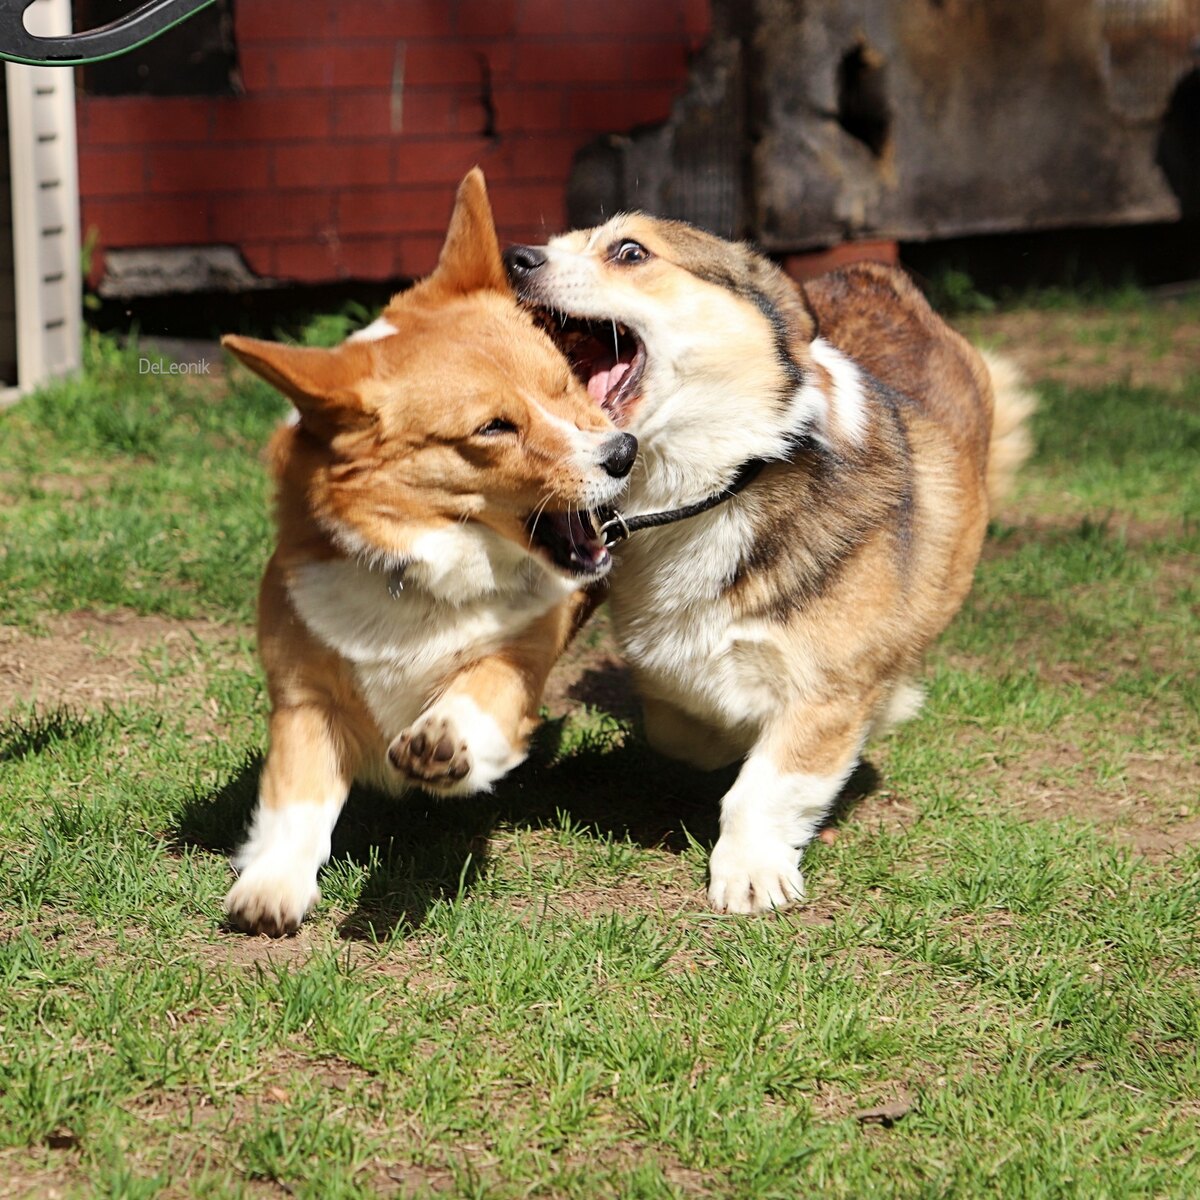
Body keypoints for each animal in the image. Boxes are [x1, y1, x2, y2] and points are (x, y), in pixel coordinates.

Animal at [220, 171, 637, 936]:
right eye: (494, 427)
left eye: (564, 385)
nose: (623, 452)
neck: (415, 567)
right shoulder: (303, 701)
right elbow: (294, 800)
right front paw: (270, 885)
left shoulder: (520, 661)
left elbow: (479, 691)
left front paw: (445, 741)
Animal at [504, 216, 1033, 914]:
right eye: (558, 239)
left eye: (630, 251)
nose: (515, 258)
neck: (724, 483)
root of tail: (877, 276)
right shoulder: (670, 671)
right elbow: (687, 728)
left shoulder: (827, 689)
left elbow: (767, 784)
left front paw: (751, 871)